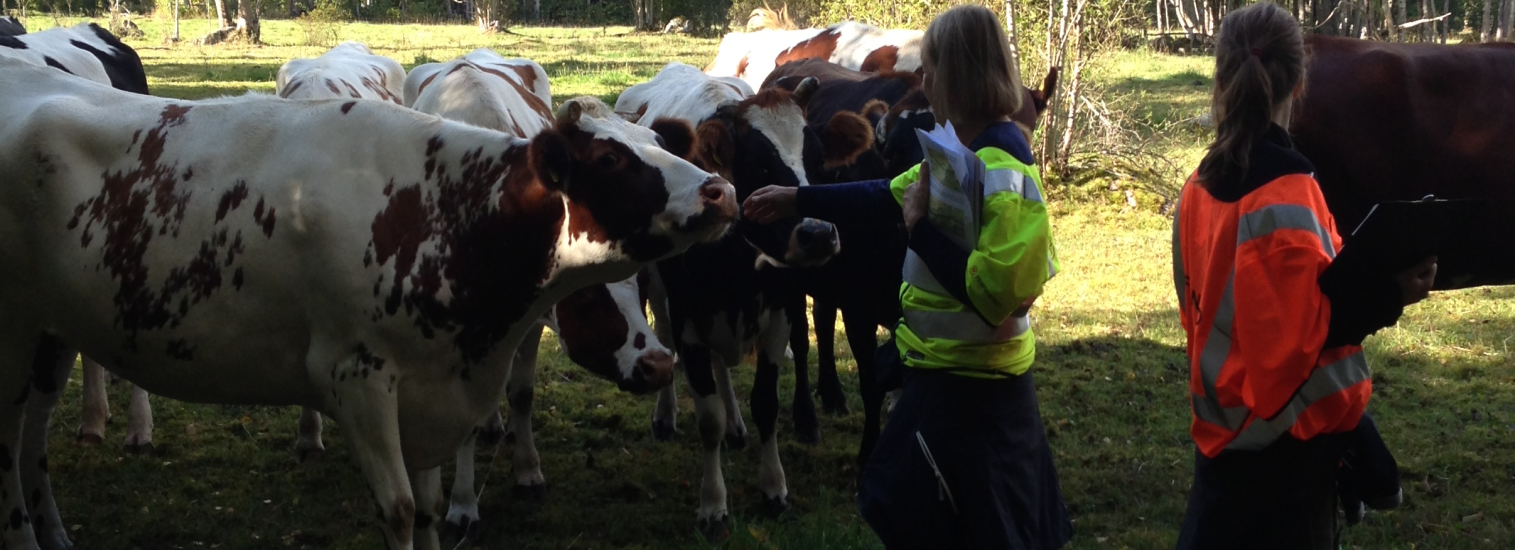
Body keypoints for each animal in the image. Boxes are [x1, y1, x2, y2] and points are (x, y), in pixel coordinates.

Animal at [0, 56, 735, 550]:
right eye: (610, 162)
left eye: (660, 143)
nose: (721, 190)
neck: (444, 213)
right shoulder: (356, 377)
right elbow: (402, 510)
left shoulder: (437, 386)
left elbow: (432, 508)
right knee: (8, 455)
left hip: (48, 336)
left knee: (31, 443)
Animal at [608, 62, 863, 537]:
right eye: (760, 164)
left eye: (820, 161)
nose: (819, 234)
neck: (735, 263)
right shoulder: (689, 320)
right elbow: (707, 418)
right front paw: (713, 503)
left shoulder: (778, 314)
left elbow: (766, 404)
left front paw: (773, 488)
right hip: (660, 290)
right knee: (666, 339)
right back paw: (666, 415)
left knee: (723, 369)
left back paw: (736, 427)